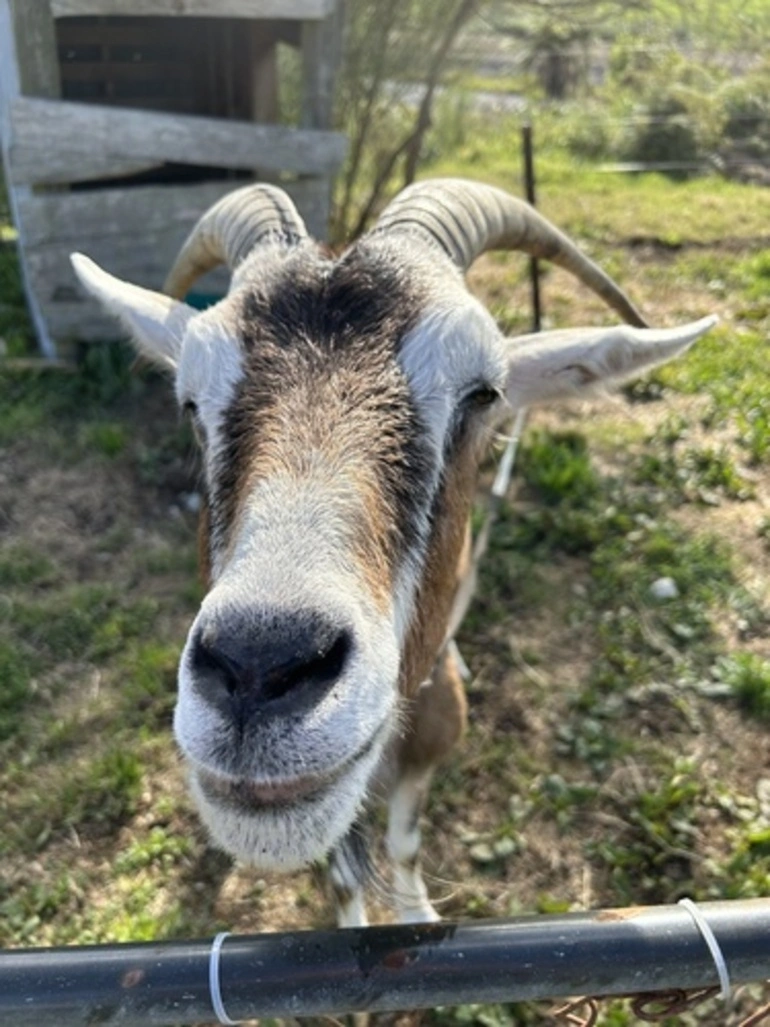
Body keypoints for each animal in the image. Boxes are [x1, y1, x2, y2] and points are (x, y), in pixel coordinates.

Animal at [71, 178, 715, 926]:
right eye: (190, 402)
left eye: (483, 393)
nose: (257, 667)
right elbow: (345, 877)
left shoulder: (431, 748)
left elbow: (404, 844)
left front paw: (419, 916)